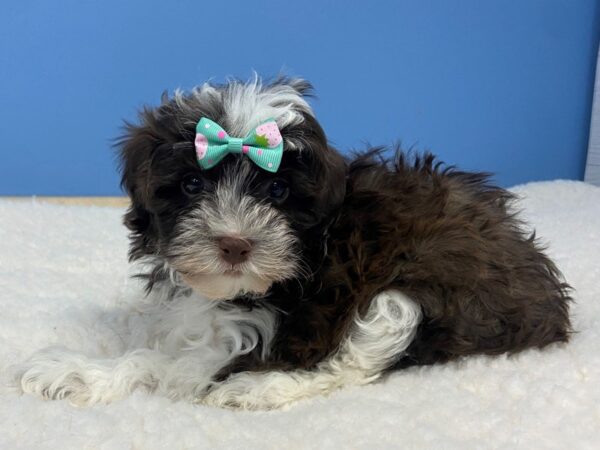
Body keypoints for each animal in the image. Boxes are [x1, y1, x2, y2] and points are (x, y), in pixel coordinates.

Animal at [15, 76, 572, 408]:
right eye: (193, 185)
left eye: (278, 192)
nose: (234, 244)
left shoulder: (263, 333)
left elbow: (162, 363)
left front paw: (74, 371)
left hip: (410, 297)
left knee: (353, 367)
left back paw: (259, 389)